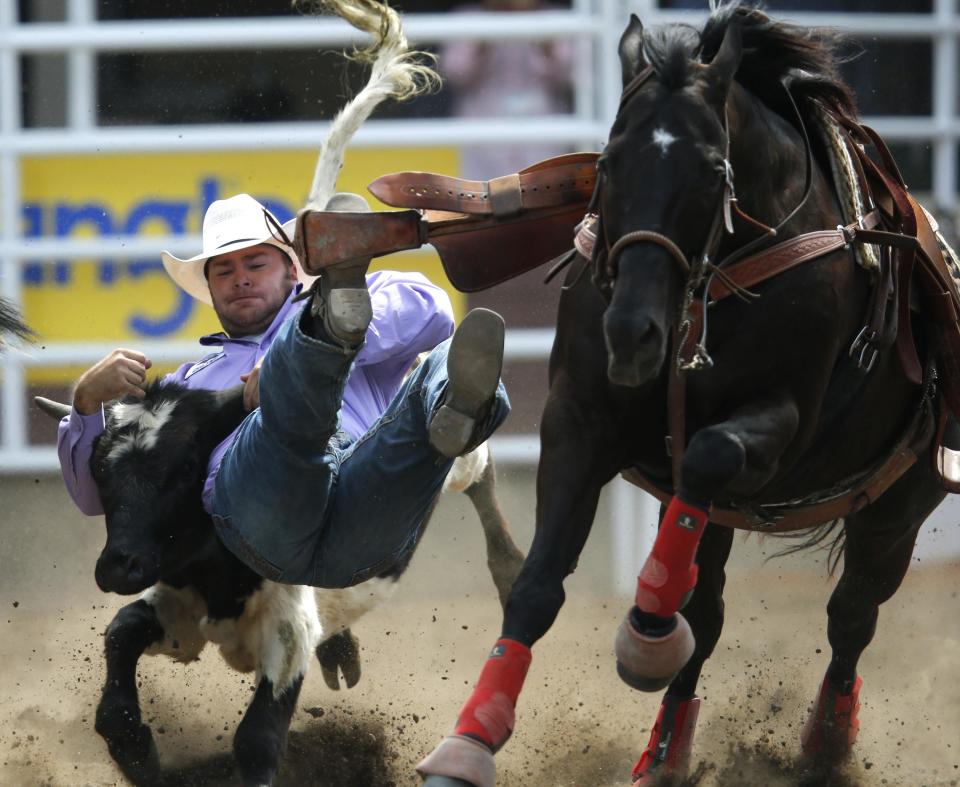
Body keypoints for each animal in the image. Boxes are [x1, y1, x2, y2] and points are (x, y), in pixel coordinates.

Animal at [418, 6, 952, 787]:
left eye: (711, 169)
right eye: (609, 162)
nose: (632, 330)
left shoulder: (781, 423)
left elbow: (709, 453)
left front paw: (645, 631)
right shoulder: (578, 420)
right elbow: (538, 584)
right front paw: (468, 742)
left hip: (898, 506)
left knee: (852, 615)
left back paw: (821, 748)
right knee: (713, 611)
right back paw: (665, 755)